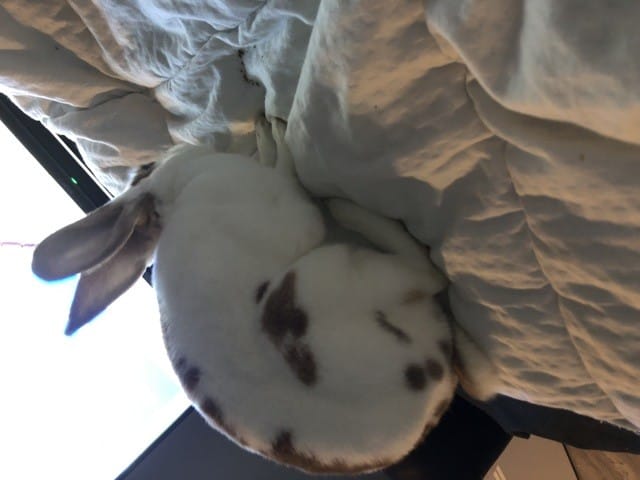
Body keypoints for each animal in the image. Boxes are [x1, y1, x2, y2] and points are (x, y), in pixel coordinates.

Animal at [31, 116, 501, 474]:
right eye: (148, 165)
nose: (172, 145)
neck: (179, 192)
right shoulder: (287, 205)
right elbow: (287, 173)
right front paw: (271, 134)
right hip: (331, 277)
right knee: (427, 271)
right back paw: (353, 212)